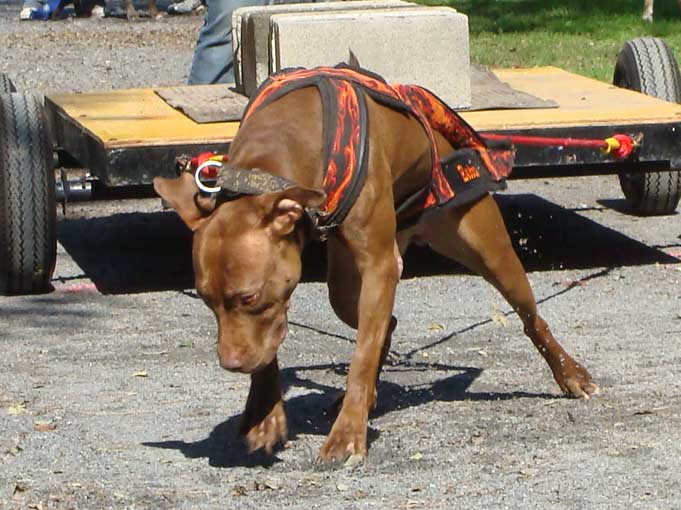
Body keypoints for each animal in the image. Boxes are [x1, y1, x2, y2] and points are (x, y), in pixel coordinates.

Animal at [153, 68, 596, 462]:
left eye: (248, 297)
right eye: (207, 301)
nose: (230, 364)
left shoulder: (378, 265)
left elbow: (360, 356)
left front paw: (347, 435)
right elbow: (276, 342)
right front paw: (265, 413)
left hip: (485, 248)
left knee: (530, 317)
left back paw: (570, 374)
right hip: (346, 286)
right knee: (386, 322)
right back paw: (368, 396)